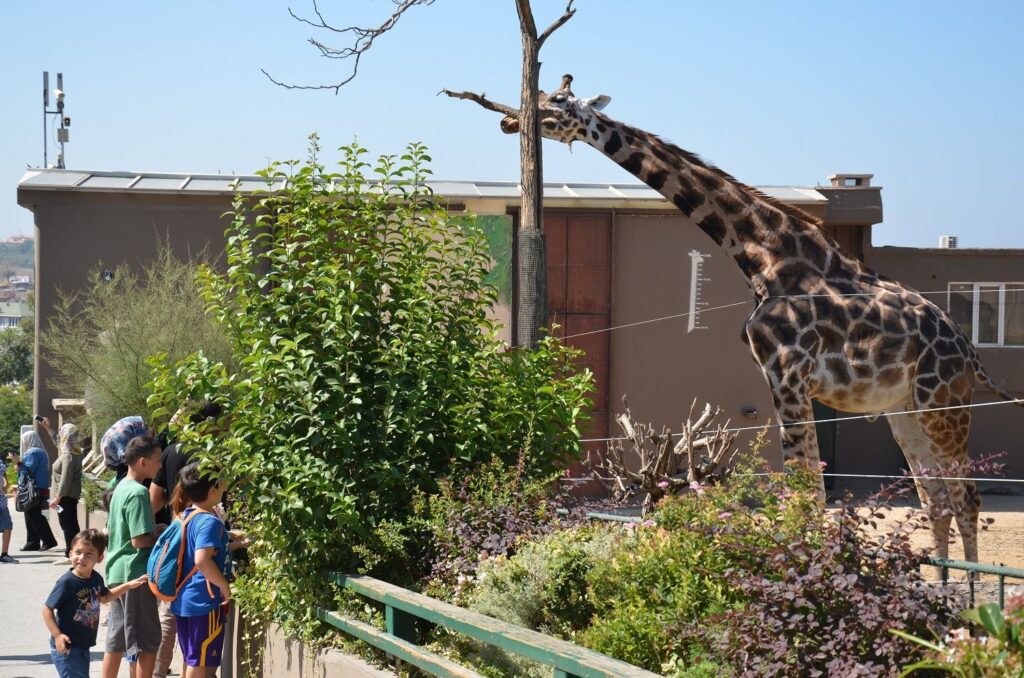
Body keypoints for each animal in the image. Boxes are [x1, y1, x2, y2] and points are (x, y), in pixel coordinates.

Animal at [499, 74, 1019, 561]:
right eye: (539, 95)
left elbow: (808, 493)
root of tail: (968, 349)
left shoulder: (788, 376)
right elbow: (808, 490)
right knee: (935, 499)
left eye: (559, 101)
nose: (509, 120)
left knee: (967, 498)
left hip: (943, 402)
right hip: (904, 408)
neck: (763, 257)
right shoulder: (780, 378)